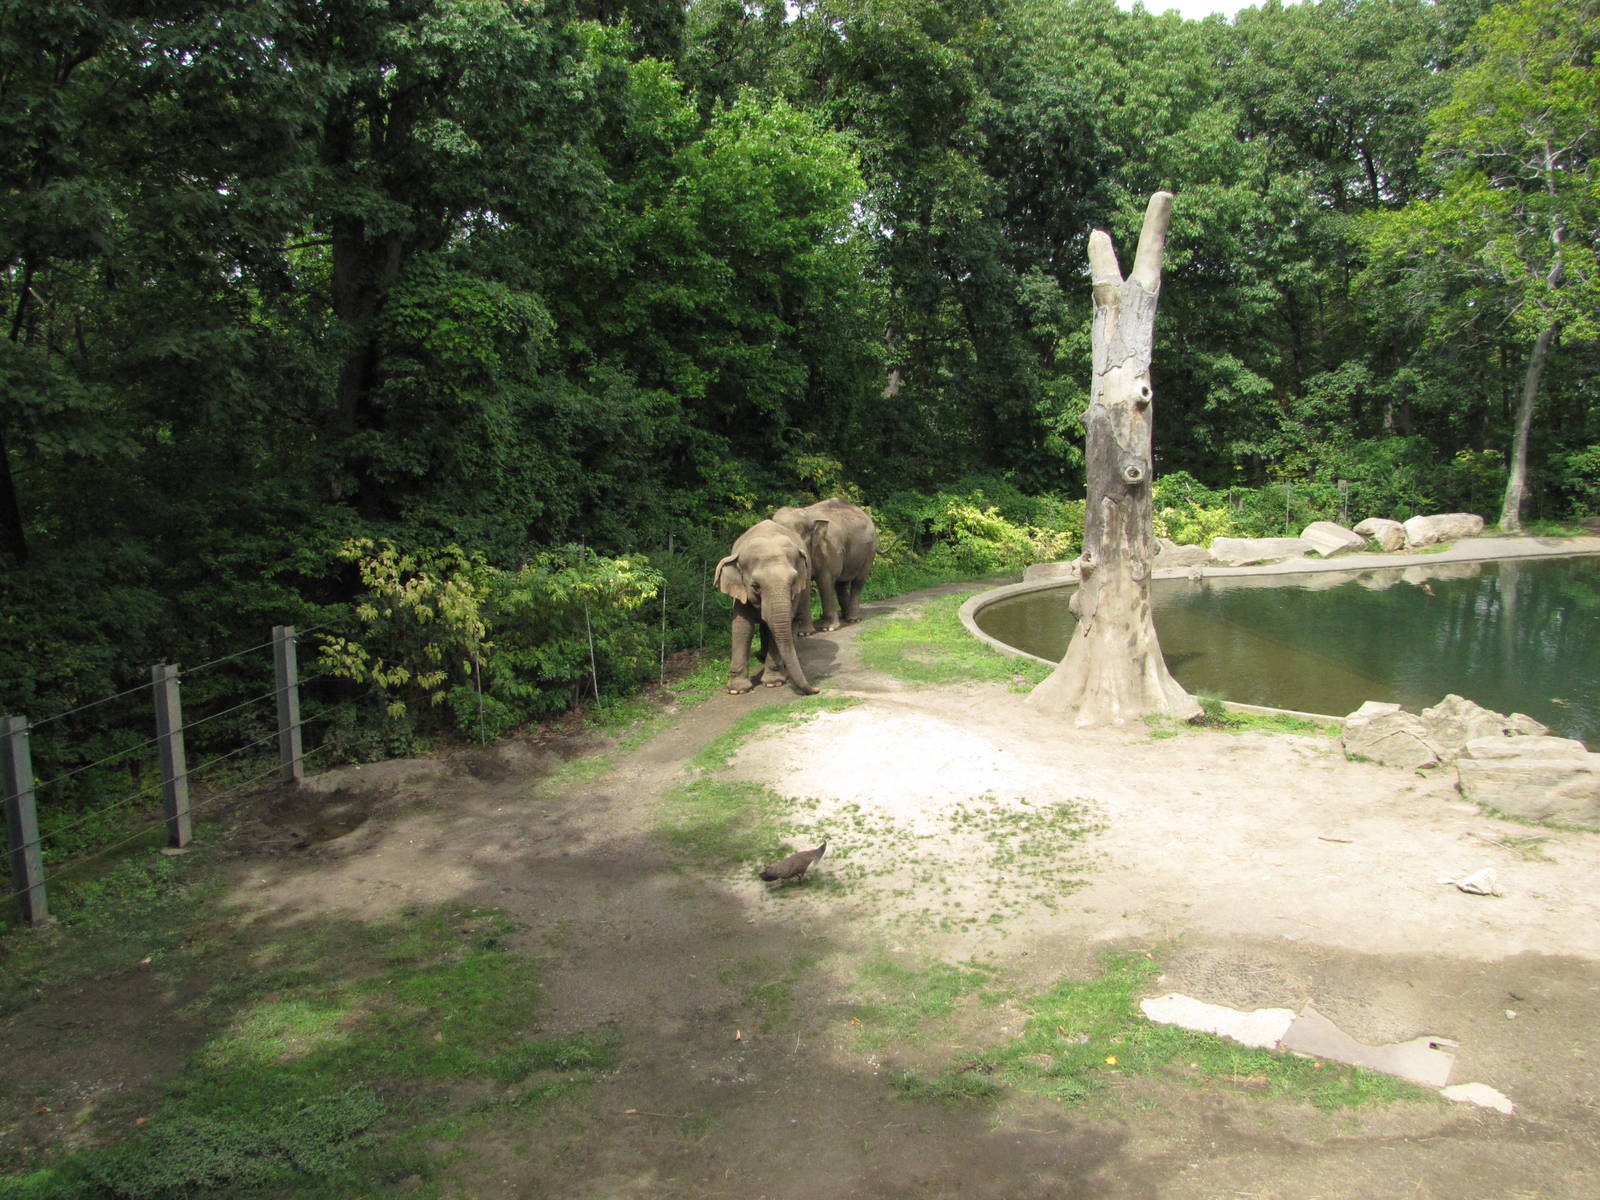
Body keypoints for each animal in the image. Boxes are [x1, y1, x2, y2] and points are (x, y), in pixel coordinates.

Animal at [714, 519, 820, 695]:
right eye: (756, 586)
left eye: (793, 581)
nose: (816, 689)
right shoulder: (742, 593)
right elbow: (742, 627)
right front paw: (737, 690)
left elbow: (776, 628)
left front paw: (773, 683)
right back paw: (762, 657)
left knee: (792, 621)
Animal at [771, 498, 878, 634]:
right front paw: (804, 633)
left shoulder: (828, 550)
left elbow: (824, 581)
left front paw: (828, 628)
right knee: (841, 585)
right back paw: (844, 616)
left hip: (870, 550)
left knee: (858, 581)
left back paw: (853, 619)